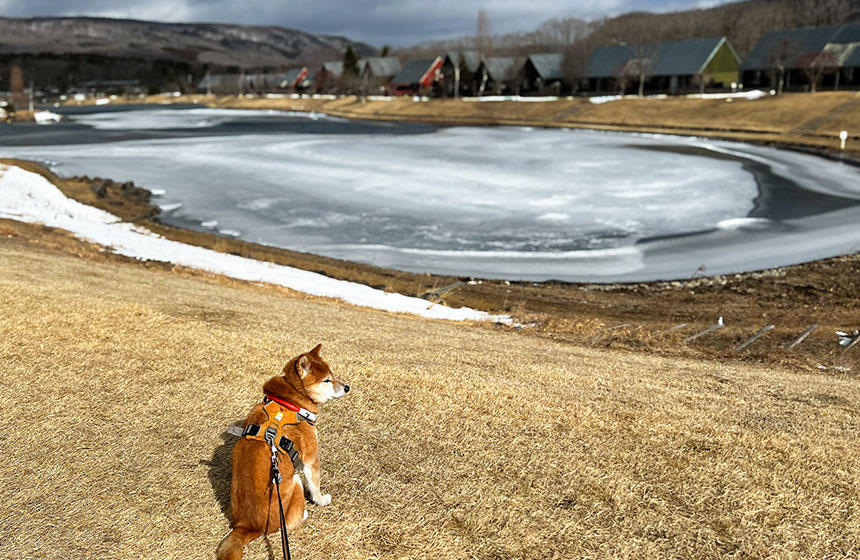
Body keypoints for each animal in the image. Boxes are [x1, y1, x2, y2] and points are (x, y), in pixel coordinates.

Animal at [217, 346, 348, 560]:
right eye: (327, 380)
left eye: (333, 375)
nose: (347, 387)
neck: (291, 401)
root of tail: (248, 525)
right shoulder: (310, 457)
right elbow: (315, 485)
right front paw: (321, 500)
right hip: (295, 483)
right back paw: (303, 513)